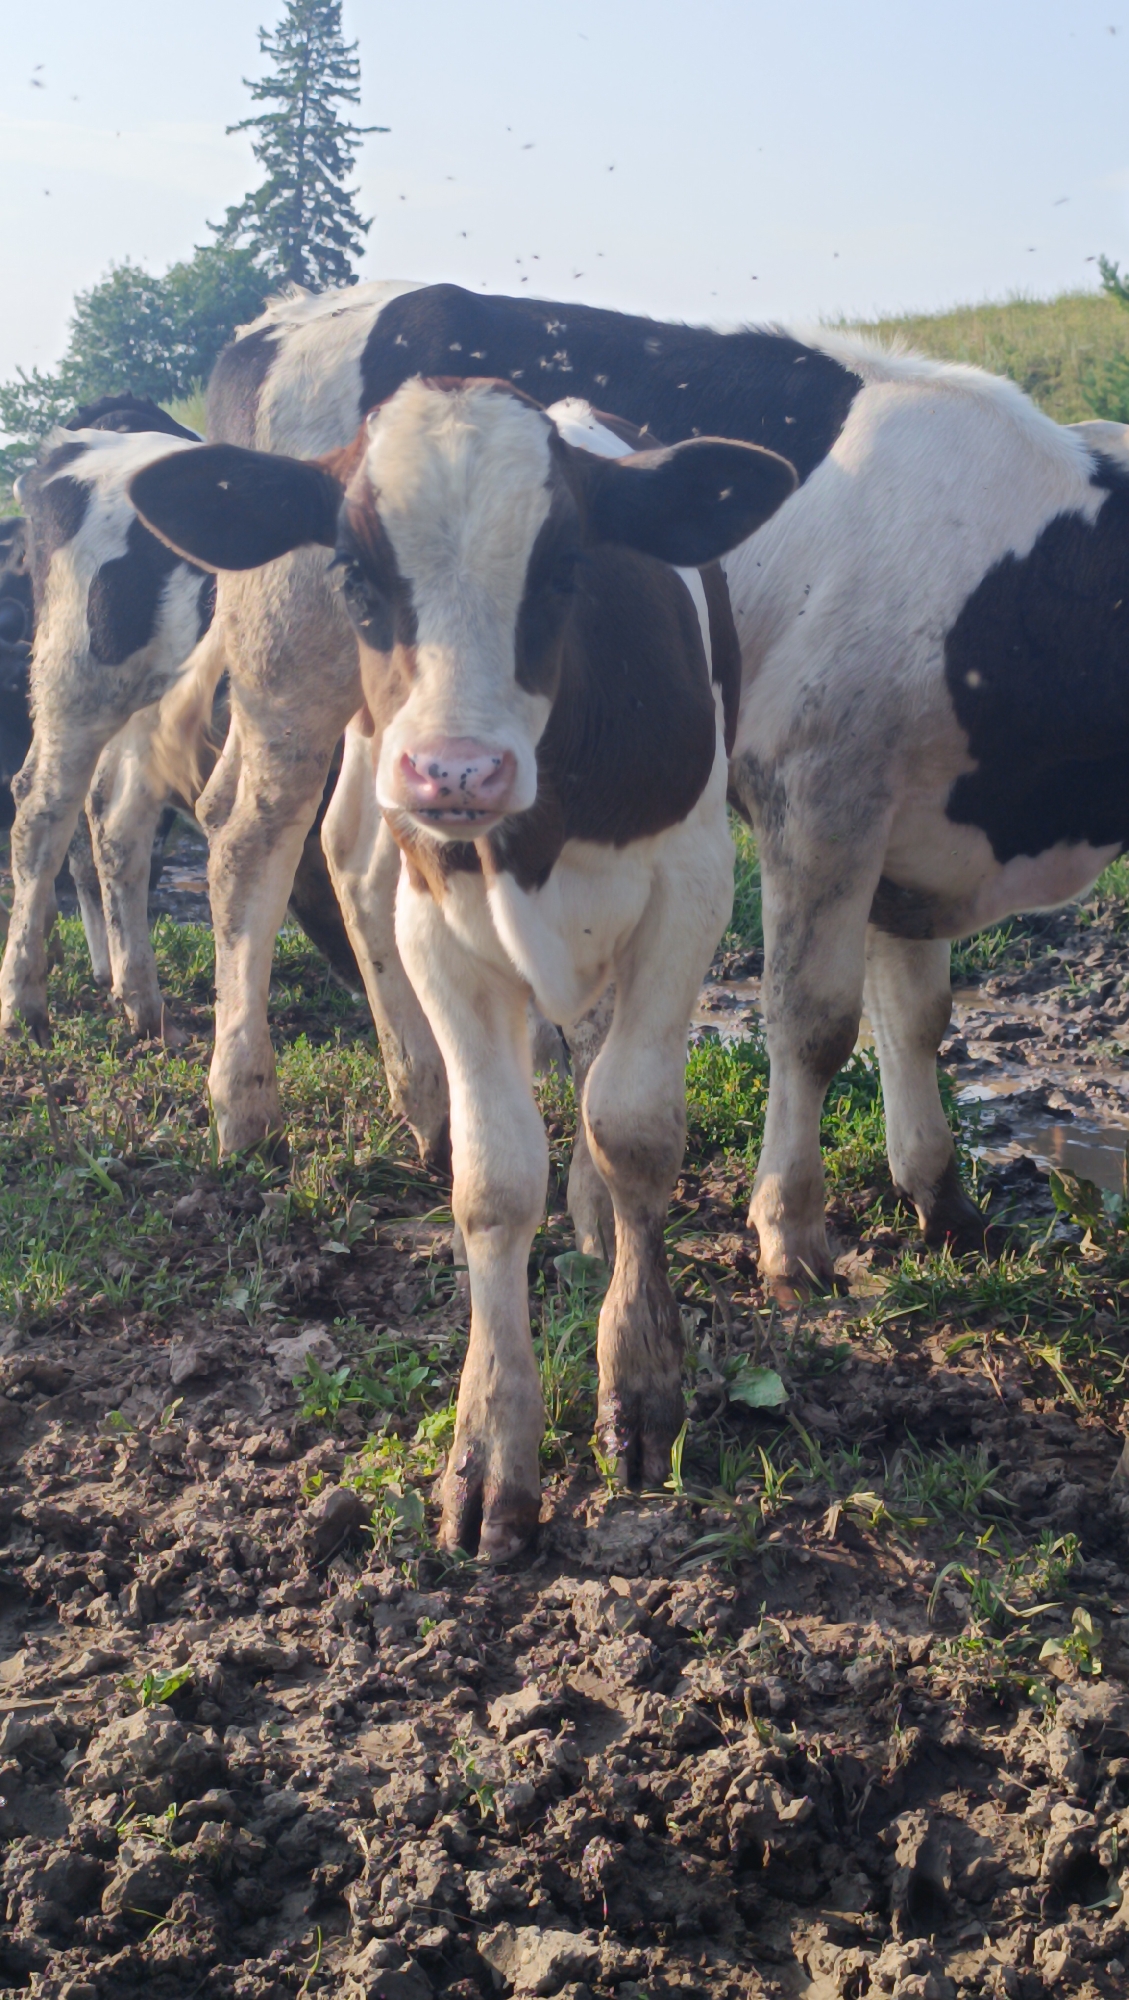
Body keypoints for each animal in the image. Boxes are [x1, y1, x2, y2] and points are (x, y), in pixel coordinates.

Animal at [130, 378, 796, 1555]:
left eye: (566, 568)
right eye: (356, 574)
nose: (456, 771)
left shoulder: (691, 886)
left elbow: (632, 1127)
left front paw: (641, 1378)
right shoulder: (439, 925)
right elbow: (492, 1182)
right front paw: (489, 1450)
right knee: (261, 849)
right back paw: (251, 1097)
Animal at [137, 278, 1129, 1298]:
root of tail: (284, 315)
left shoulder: (905, 822)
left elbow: (918, 1016)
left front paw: (940, 1197)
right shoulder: (820, 791)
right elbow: (813, 1021)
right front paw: (789, 1228)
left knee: (353, 854)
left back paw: (428, 1104)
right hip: (291, 663)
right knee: (249, 840)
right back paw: (246, 1104)